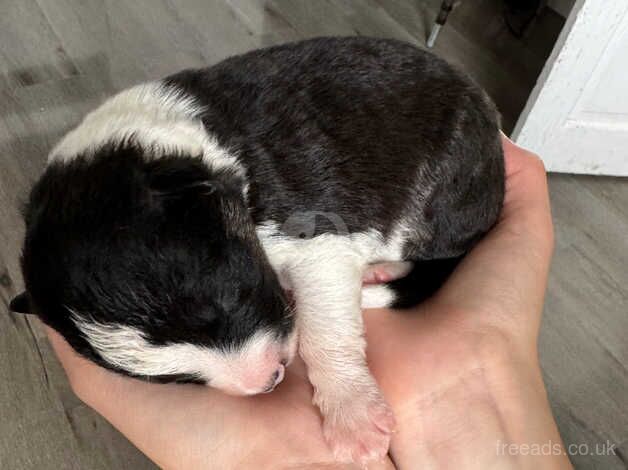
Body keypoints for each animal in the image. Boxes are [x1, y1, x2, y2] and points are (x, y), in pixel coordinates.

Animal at [11, 36, 506, 462]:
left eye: (230, 300)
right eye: (178, 379)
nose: (267, 382)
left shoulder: (317, 238)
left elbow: (326, 332)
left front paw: (353, 417)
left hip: (443, 194)